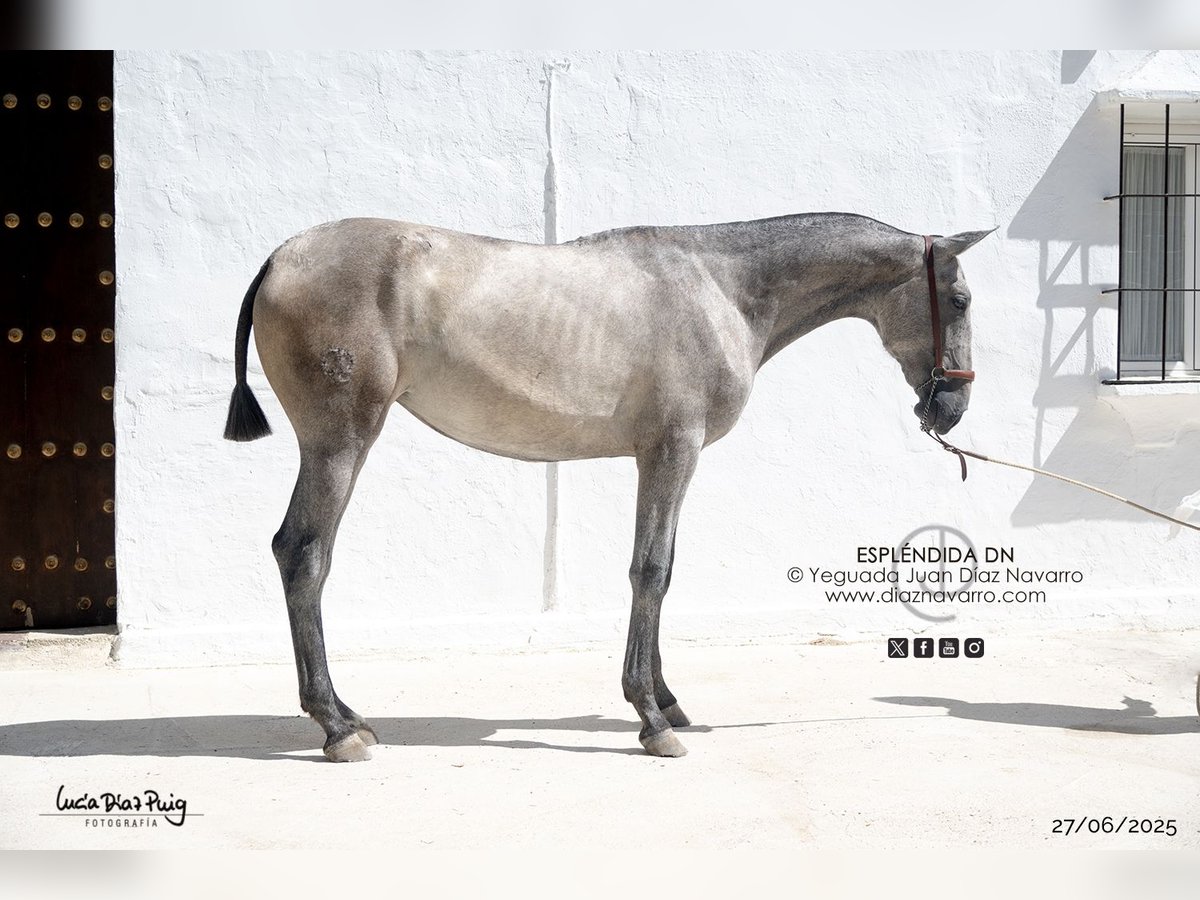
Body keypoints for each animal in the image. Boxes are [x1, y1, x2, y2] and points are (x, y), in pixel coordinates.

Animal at [224, 212, 992, 762]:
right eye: (958, 298)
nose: (951, 408)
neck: (721, 289)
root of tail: (282, 256)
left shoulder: (668, 459)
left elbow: (665, 570)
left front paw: (667, 699)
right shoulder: (671, 453)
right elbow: (649, 572)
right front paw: (652, 720)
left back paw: (352, 716)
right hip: (339, 444)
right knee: (303, 554)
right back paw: (336, 727)